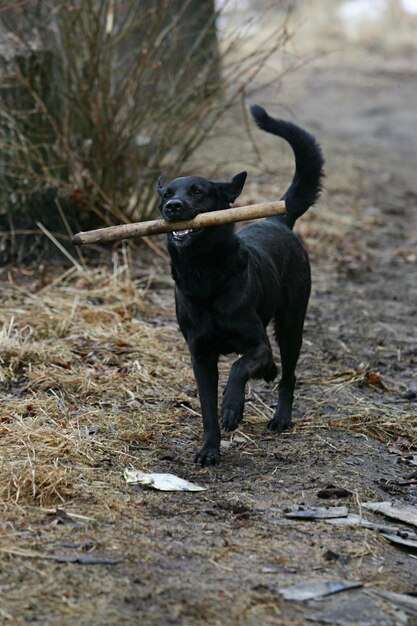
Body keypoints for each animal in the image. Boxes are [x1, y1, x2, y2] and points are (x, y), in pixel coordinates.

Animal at [158, 103, 324, 464]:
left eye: (198, 191)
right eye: (166, 194)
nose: (172, 207)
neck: (204, 273)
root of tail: (278, 219)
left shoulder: (256, 343)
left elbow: (238, 367)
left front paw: (233, 409)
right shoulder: (200, 356)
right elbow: (207, 407)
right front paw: (209, 449)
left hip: (291, 324)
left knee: (288, 374)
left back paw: (281, 417)